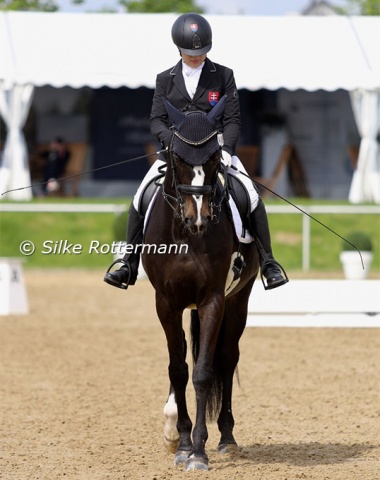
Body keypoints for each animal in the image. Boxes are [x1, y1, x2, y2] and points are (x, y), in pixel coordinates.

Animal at [141, 95, 260, 470]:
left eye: (213, 158)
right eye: (177, 157)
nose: (199, 219)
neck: (185, 236)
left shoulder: (212, 300)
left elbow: (204, 372)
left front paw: (198, 450)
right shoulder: (165, 302)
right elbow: (177, 368)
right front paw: (180, 442)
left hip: (238, 300)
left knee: (227, 358)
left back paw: (227, 439)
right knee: (183, 354)